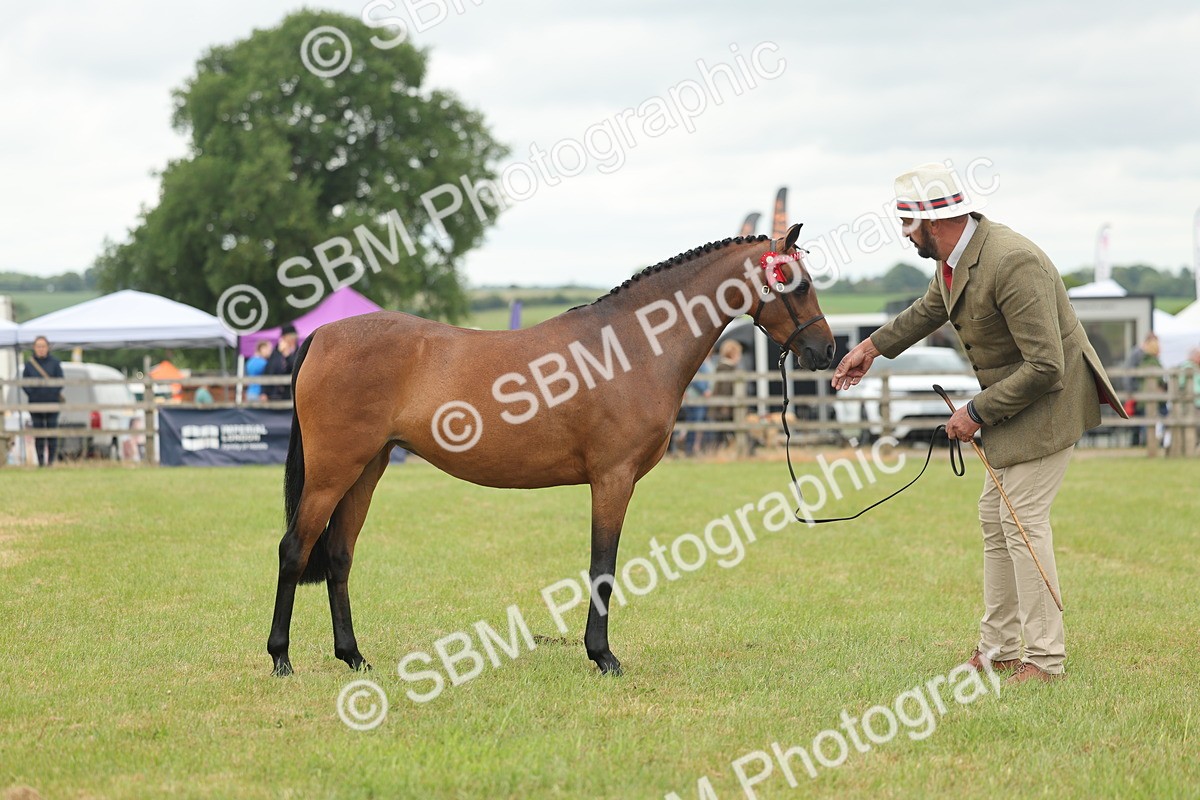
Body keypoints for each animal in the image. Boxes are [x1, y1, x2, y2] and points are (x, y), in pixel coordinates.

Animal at [267, 223, 835, 677]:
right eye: (800, 283)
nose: (826, 350)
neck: (629, 347)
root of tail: (322, 335)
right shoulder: (612, 478)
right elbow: (602, 566)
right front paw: (603, 656)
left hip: (366, 469)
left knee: (339, 557)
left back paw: (353, 656)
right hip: (332, 472)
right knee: (294, 550)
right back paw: (281, 658)